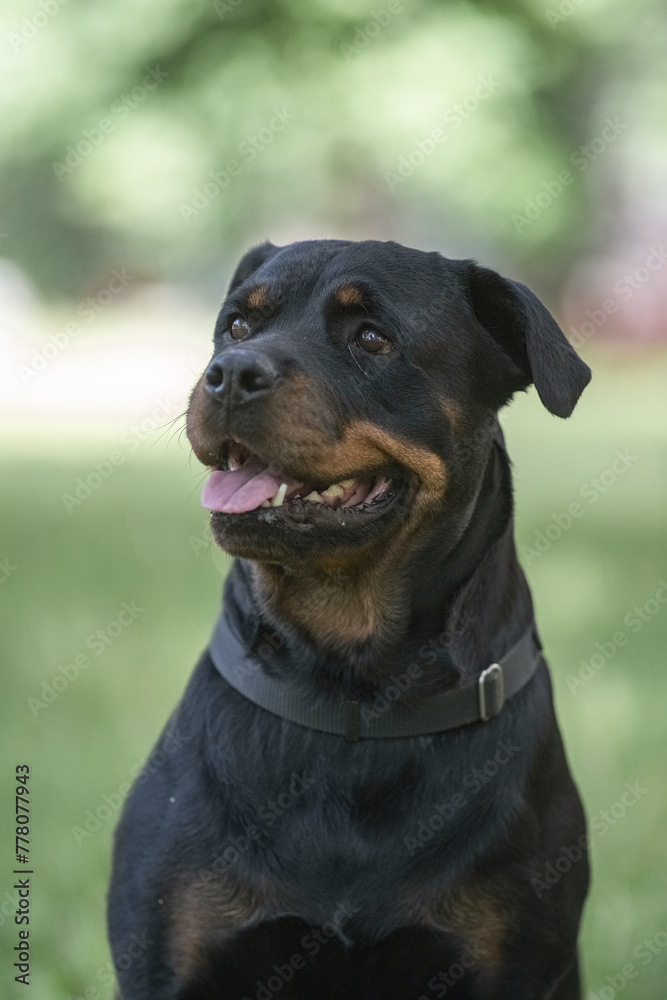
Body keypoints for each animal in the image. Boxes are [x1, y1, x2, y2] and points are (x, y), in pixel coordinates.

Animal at [107, 238, 592, 996]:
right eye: (237, 327)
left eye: (371, 338)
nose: (231, 373)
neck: (353, 692)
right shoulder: (165, 963)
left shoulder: (512, 966)